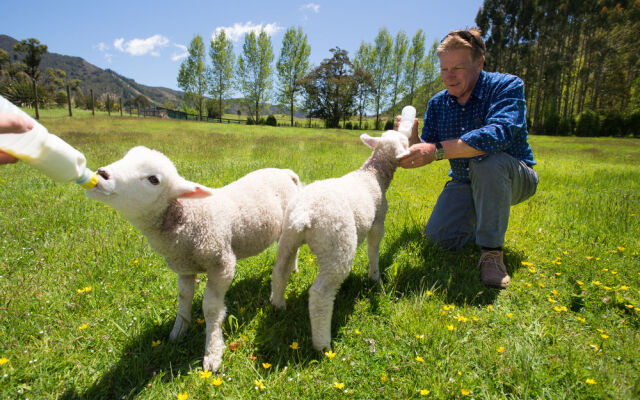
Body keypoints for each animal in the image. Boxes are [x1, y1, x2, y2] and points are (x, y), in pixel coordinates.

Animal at [85, 146, 302, 372]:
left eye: (154, 179)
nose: (101, 173)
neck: (191, 215)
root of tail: (286, 172)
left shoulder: (221, 264)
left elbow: (211, 309)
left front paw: (213, 352)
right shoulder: (184, 266)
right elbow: (184, 298)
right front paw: (178, 331)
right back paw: (294, 268)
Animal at [270, 130, 410, 350]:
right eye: (404, 141)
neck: (372, 174)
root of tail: (305, 213)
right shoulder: (378, 221)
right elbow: (374, 249)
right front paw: (375, 276)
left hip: (288, 238)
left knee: (279, 272)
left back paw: (278, 305)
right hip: (336, 247)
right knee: (320, 294)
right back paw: (323, 344)